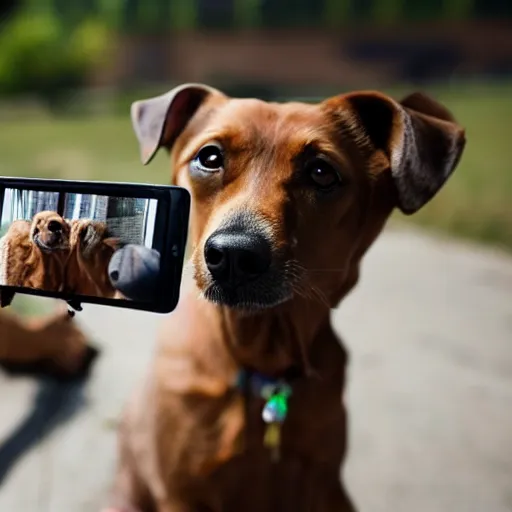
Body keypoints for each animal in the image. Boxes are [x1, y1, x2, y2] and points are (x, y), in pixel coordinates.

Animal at [106, 84, 466, 512]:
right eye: (209, 158)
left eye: (321, 172)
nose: (233, 255)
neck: (259, 358)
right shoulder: (182, 492)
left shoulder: (321, 485)